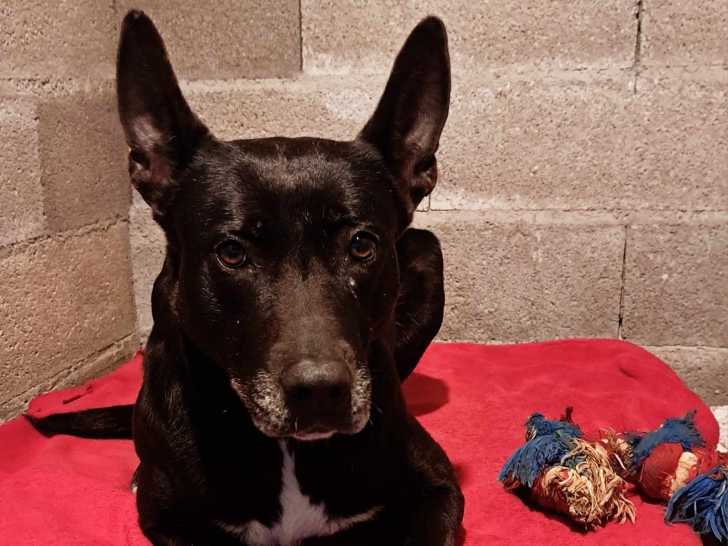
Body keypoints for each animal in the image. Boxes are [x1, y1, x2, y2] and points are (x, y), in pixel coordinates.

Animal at [29, 10, 463, 546]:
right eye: (232, 252)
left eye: (362, 245)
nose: (320, 391)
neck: (288, 451)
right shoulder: (167, 518)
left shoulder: (437, 487)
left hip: (427, 250)